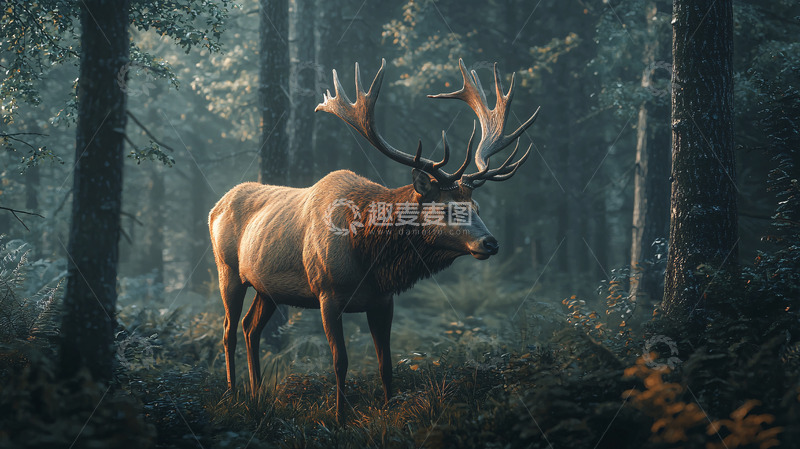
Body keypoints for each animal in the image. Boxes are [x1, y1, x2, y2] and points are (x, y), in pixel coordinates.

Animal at [208, 58, 540, 421]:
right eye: (447, 208)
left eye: (476, 206)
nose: (491, 243)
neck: (368, 255)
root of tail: (215, 207)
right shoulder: (327, 293)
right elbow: (340, 362)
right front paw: (340, 418)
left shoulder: (383, 299)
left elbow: (386, 364)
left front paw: (390, 409)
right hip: (227, 271)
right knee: (228, 331)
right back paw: (232, 394)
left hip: (267, 289)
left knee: (250, 328)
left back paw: (257, 394)